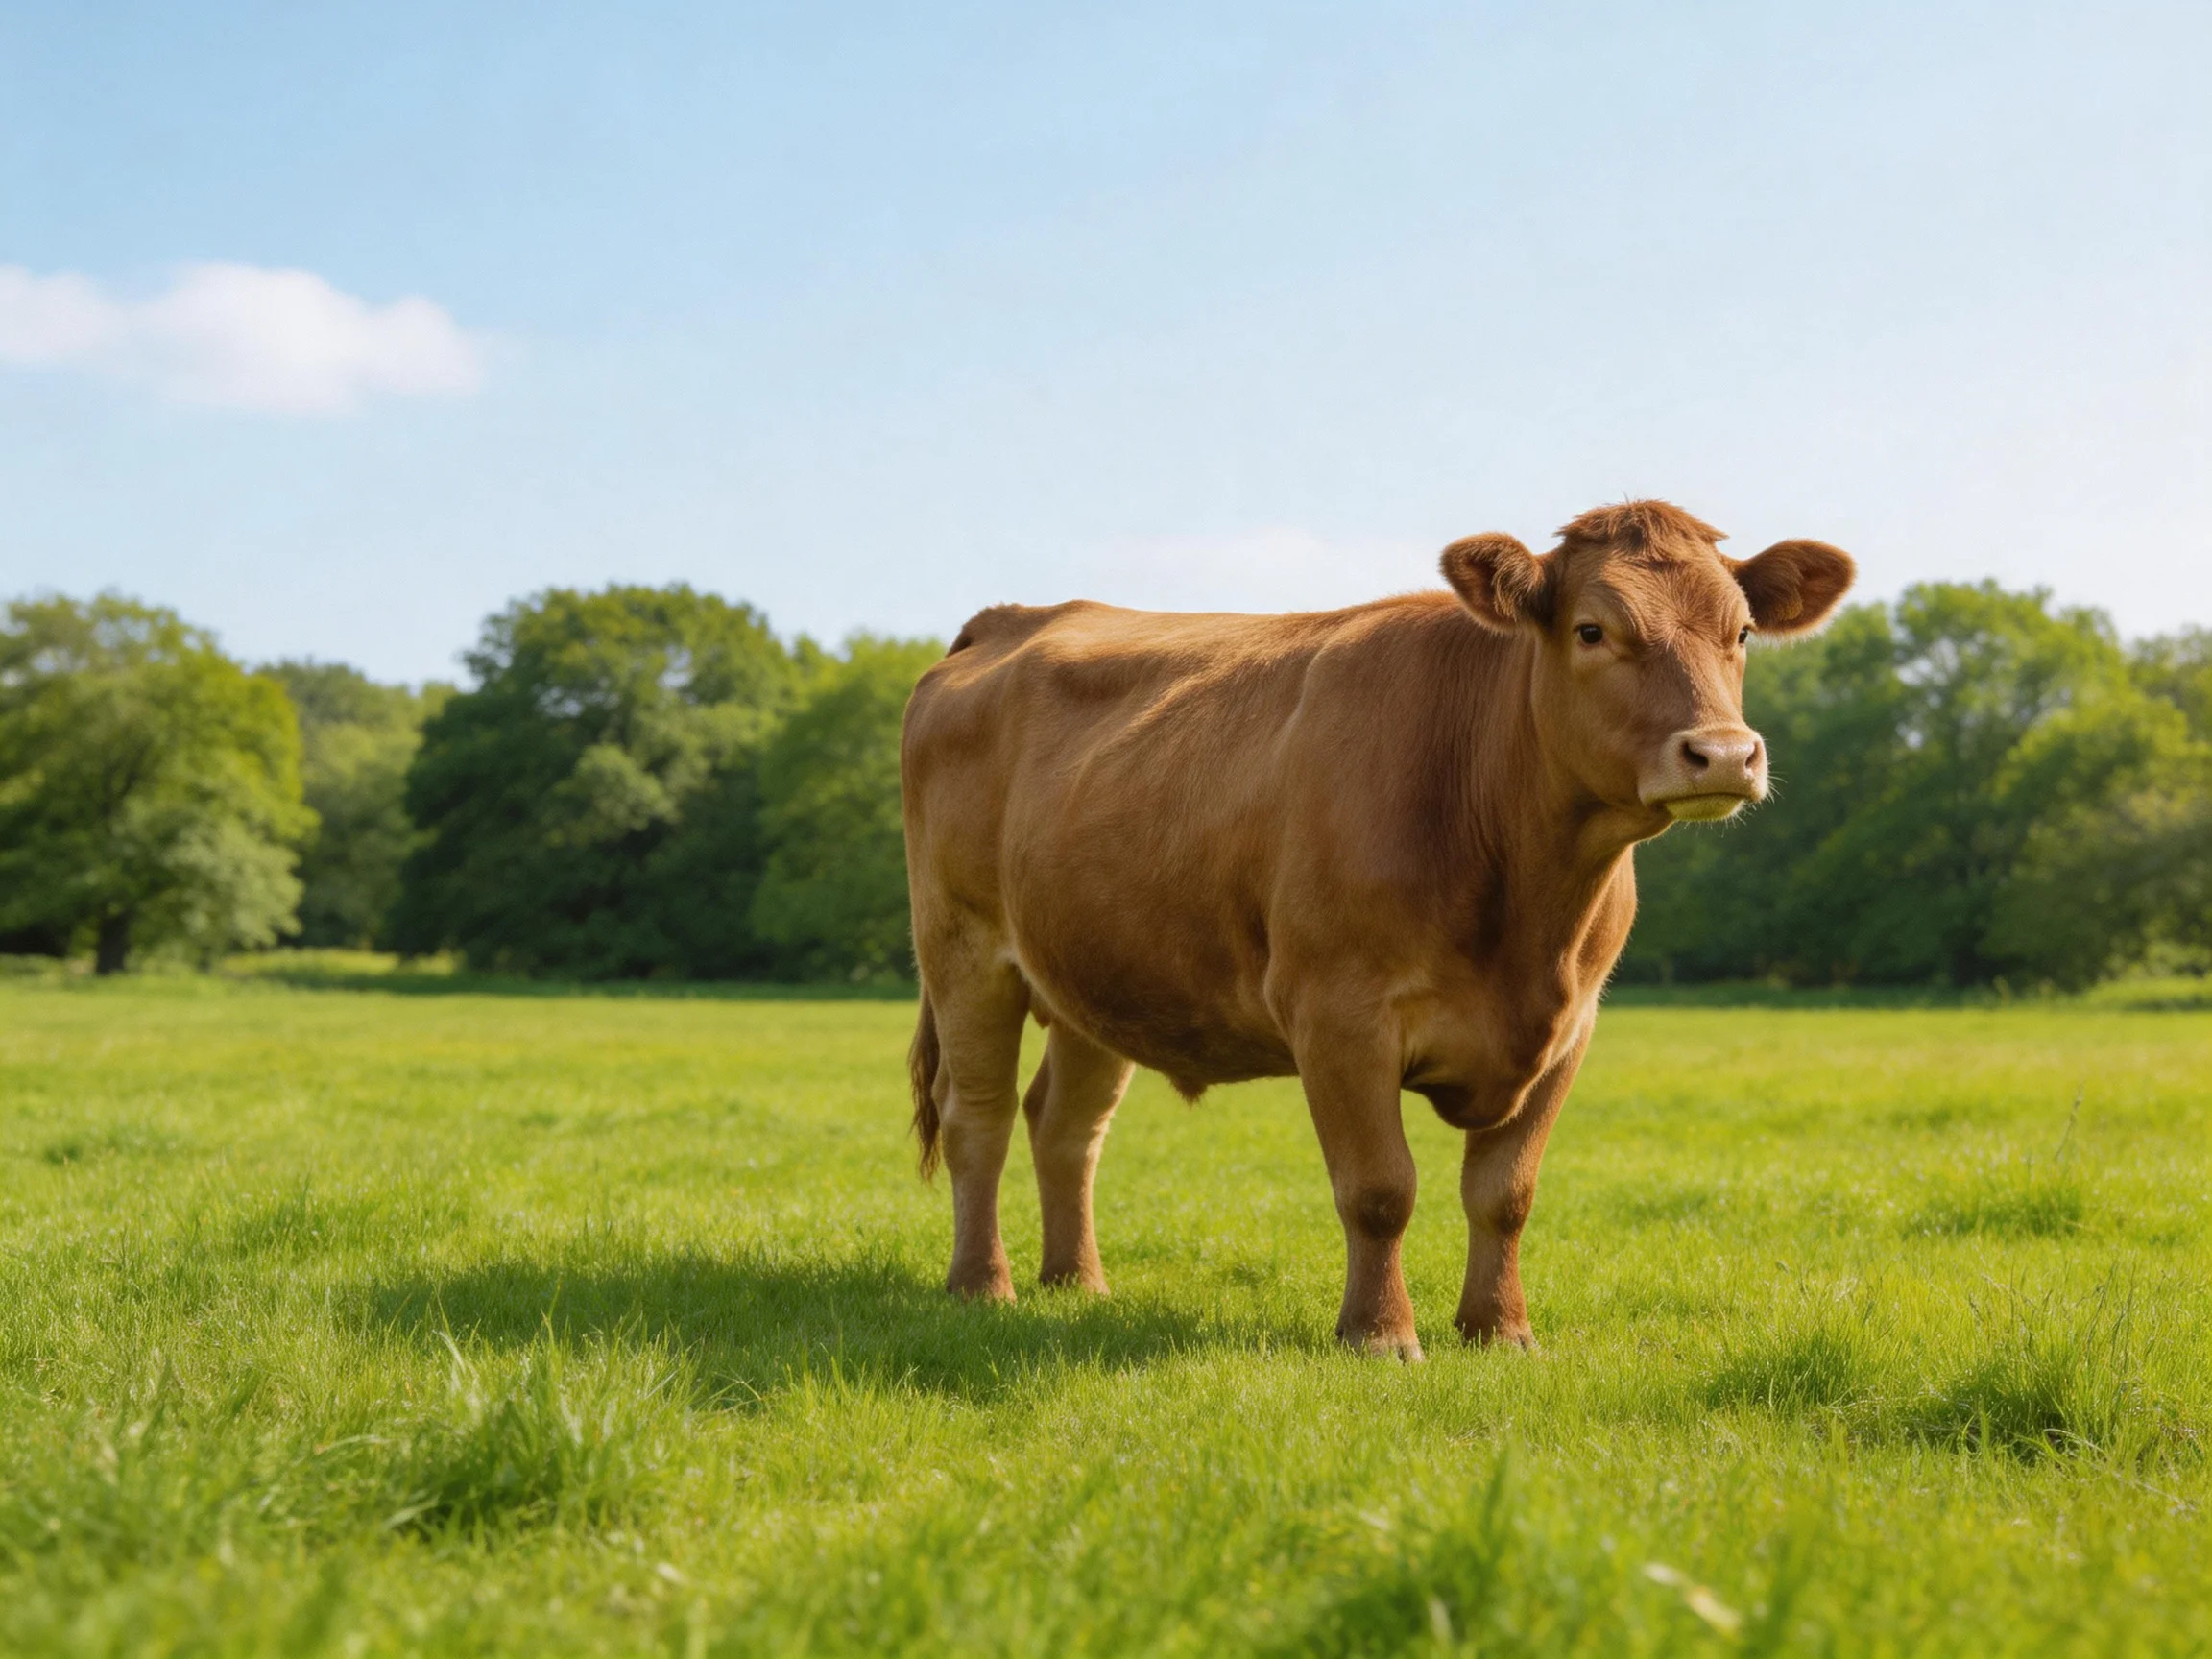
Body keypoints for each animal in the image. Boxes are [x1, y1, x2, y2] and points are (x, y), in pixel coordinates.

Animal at [900, 500, 1853, 1358]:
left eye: (1740, 633)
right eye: (1592, 630)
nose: (1723, 753)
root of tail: (1011, 618)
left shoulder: (1571, 1026)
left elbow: (1506, 1193)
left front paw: (1500, 1330)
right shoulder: (1338, 1015)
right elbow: (1379, 1188)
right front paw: (1381, 1334)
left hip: (1096, 976)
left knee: (1066, 1125)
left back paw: (1078, 1284)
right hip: (964, 951)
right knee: (977, 1116)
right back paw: (983, 1285)